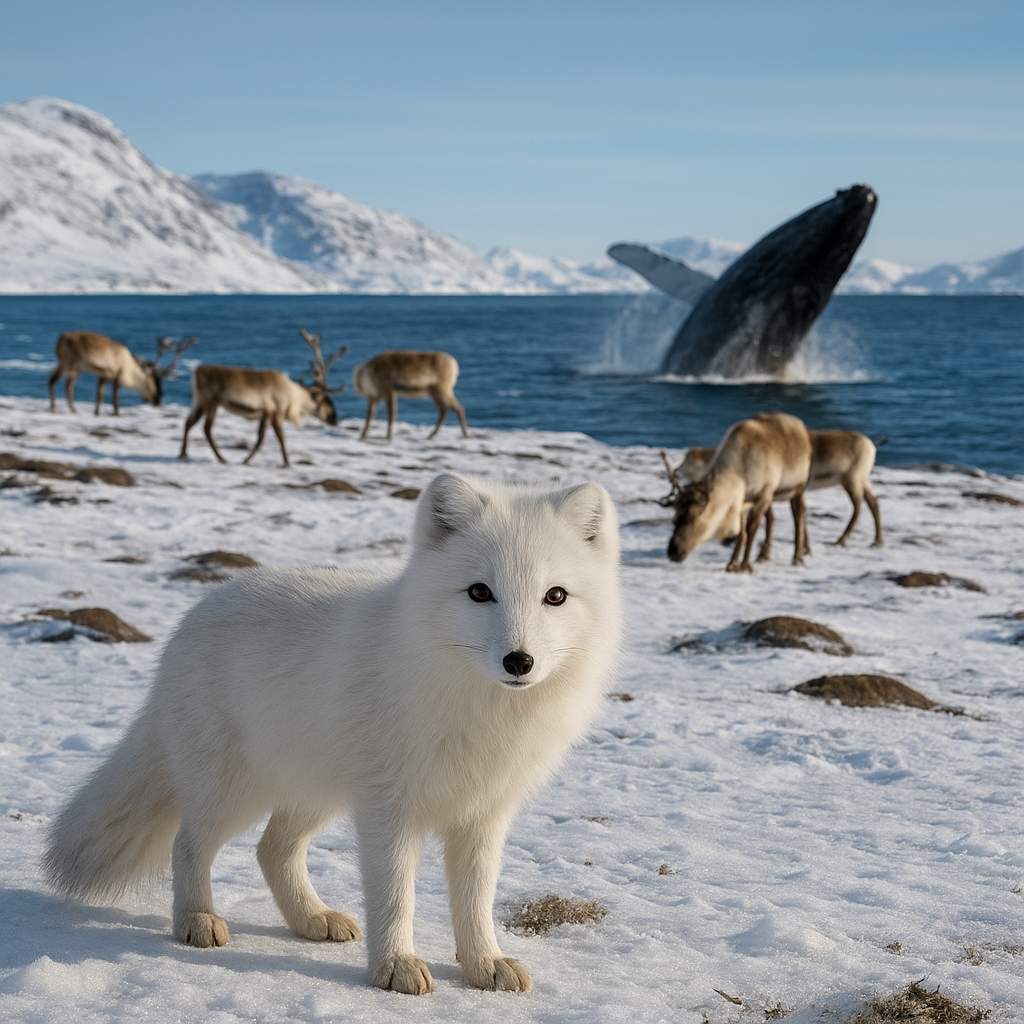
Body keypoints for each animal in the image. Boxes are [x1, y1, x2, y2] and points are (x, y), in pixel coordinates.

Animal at [43, 472, 622, 995]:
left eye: (555, 596)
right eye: (480, 592)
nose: (518, 661)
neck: (481, 707)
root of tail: (197, 613)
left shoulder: (483, 813)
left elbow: (476, 900)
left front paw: (484, 963)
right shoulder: (388, 810)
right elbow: (395, 896)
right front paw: (396, 967)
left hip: (317, 792)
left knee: (272, 850)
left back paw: (311, 920)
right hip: (234, 789)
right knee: (188, 844)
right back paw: (197, 920)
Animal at [48, 332, 197, 415]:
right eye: (154, 384)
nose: (157, 401)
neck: (129, 369)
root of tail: (60, 339)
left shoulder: (107, 376)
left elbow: (102, 395)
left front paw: (97, 412)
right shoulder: (113, 375)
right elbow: (112, 398)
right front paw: (115, 413)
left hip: (66, 365)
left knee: (52, 379)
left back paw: (54, 407)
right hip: (72, 365)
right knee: (67, 385)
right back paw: (71, 409)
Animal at [178, 329, 347, 468]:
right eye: (326, 400)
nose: (334, 419)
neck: (293, 398)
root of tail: (197, 371)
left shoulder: (266, 414)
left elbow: (263, 438)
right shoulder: (274, 412)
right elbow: (273, 437)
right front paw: (285, 462)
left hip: (202, 401)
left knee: (191, 422)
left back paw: (185, 454)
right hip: (209, 400)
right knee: (204, 427)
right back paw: (216, 457)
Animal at [663, 412, 812, 572]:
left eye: (691, 516)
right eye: (675, 517)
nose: (672, 551)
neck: (738, 472)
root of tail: (799, 424)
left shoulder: (764, 494)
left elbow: (751, 530)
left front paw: (745, 565)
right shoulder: (744, 500)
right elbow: (742, 533)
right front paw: (732, 563)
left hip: (798, 486)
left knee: (799, 514)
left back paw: (798, 557)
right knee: (771, 518)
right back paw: (763, 555)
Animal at [669, 429, 883, 557]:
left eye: (687, 459)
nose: (676, 470)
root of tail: (871, 445)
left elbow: (774, 518)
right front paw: (804, 548)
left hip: (852, 480)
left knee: (858, 507)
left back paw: (842, 539)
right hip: (863, 480)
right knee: (873, 503)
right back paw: (877, 540)